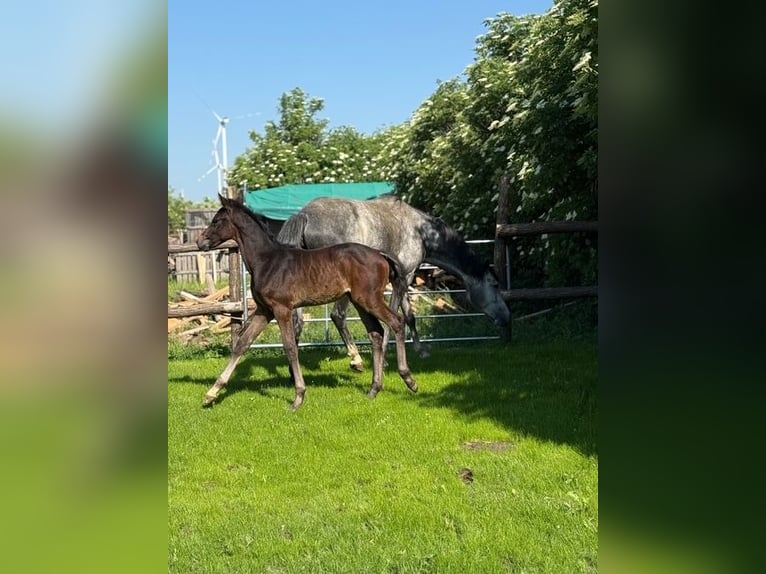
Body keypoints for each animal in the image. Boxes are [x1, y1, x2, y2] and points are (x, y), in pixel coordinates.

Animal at [196, 195, 417, 411]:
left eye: (216, 221)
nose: (199, 241)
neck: (266, 261)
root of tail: (380, 254)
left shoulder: (282, 309)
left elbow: (290, 347)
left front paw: (298, 397)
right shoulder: (264, 311)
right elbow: (242, 344)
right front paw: (211, 394)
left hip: (370, 299)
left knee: (397, 322)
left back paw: (408, 379)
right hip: (360, 302)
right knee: (376, 333)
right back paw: (374, 389)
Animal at [276, 195, 511, 371]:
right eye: (494, 285)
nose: (507, 318)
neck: (421, 231)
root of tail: (304, 215)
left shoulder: (405, 277)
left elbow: (409, 315)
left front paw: (420, 350)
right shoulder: (404, 277)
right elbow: (395, 315)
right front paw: (386, 359)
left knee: (297, 322)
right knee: (337, 316)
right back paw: (356, 359)